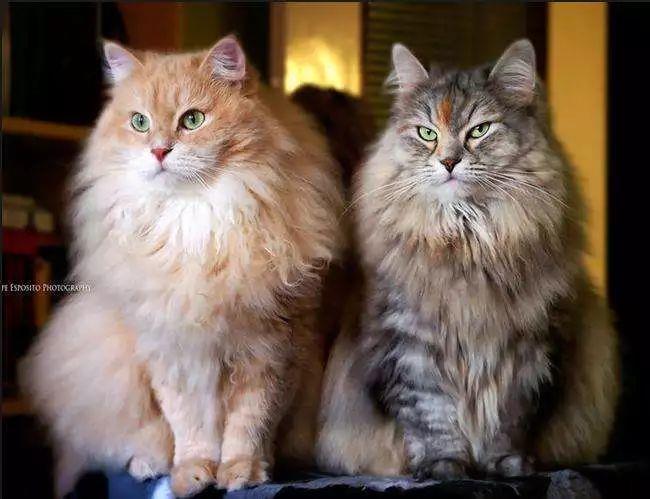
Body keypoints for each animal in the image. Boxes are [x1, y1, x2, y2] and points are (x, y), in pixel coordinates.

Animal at [19, 35, 343, 497]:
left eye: (192, 120)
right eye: (139, 122)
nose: (158, 150)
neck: (194, 220)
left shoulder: (271, 348)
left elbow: (249, 424)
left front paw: (241, 474)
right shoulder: (171, 351)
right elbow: (191, 427)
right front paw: (192, 475)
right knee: (129, 440)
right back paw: (149, 465)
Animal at [316, 40, 619, 479]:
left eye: (479, 130)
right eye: (427, 134)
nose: (447, 161)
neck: (468, 239)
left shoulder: (528, 349)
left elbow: (509, 420)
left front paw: (506, 465)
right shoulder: (411, 346)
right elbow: (433, 420)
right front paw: (445, 468)